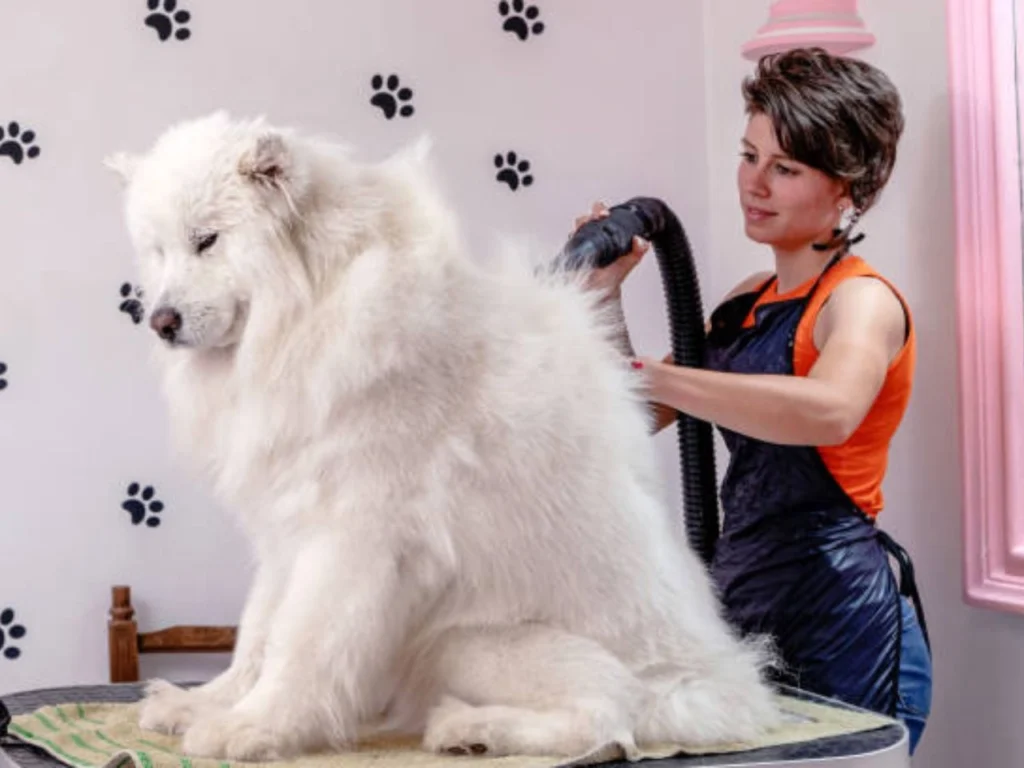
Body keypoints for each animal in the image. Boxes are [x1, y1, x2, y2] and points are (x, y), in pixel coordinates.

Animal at [103, 112, 778, 765]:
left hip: (467, 642)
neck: (313, 312)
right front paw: (203, 705)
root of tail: (716, 686)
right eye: (158, 251)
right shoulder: (287, 531)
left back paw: (470, 729)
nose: (160, 321)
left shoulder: (353, 539)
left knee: (610, 719)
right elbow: (257, 634)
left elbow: (302, 645)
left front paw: (253, 728)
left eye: (207, 240)